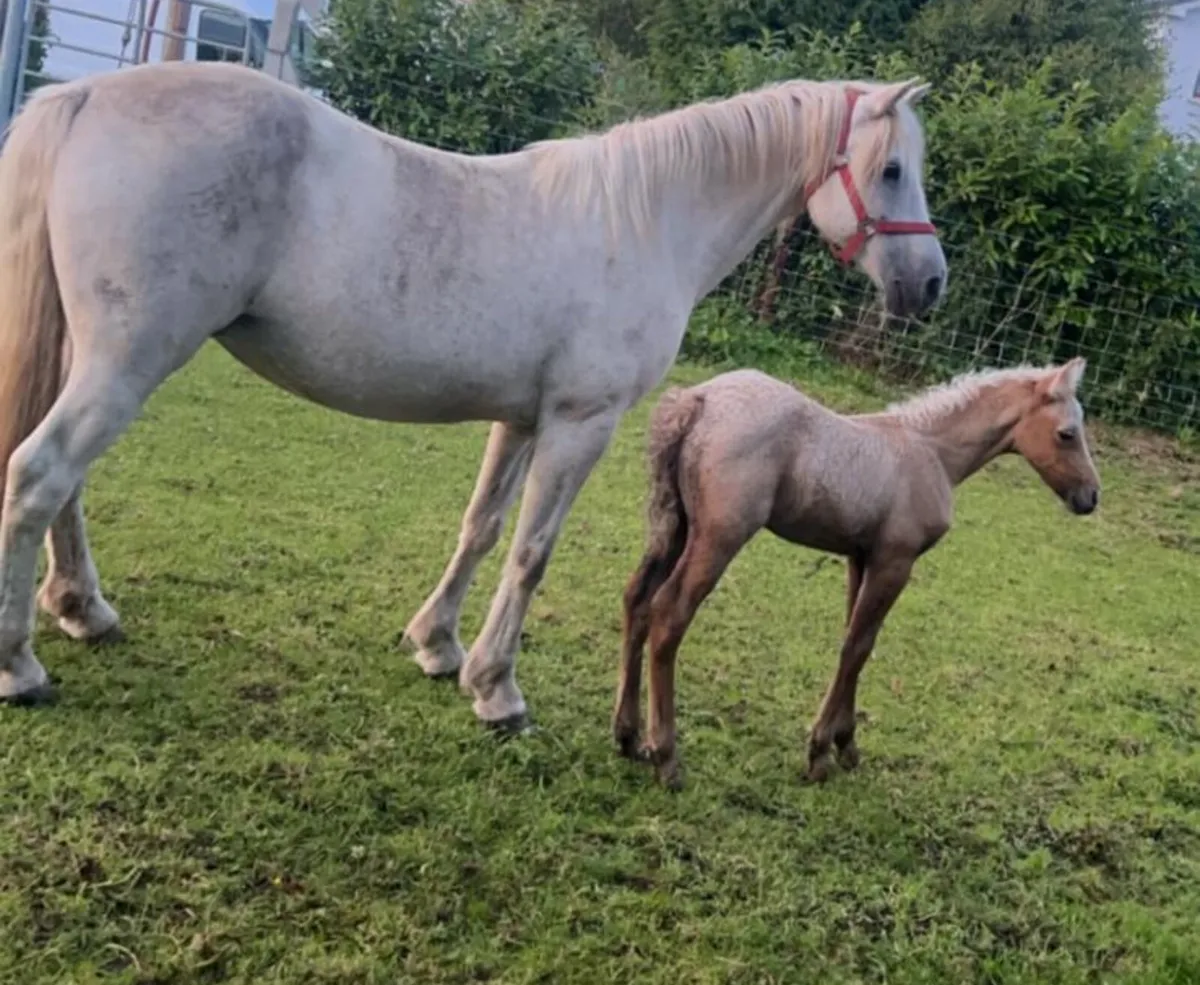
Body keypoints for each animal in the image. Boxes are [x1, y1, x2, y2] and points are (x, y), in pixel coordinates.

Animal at [0, 60, 946, 731]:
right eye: (893, 169)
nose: (929, 283)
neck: (644, 222)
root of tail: (87, 93)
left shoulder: (521, 419)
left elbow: (482, 528)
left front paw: (439, 646)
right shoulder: (581, 424)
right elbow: (532, 551)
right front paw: (498, 689)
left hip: (102, 357)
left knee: (64, 483)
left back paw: (83, 609)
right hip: (129, 359)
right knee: (41, 475)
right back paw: (22, 666)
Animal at [614, 359, 1100, 789]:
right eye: (1067, 433)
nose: (1091, 497)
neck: (931, 452)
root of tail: (697, 399)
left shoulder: (860, 557)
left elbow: (855, 640)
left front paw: (843, 744)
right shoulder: (894, 562)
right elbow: (859, 647)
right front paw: (820, 753)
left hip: (677, 525)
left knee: (637, 599)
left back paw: (627, 736)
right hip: (719, 536)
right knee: (669, 613)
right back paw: (666, 757)